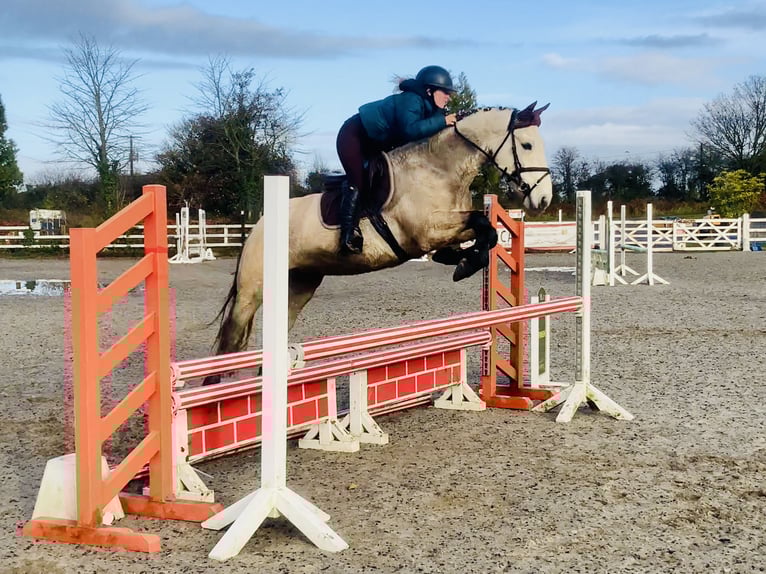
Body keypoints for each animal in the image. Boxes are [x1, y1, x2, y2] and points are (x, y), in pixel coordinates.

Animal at [204, 102, 552, 383]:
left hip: (300, 285)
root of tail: (258, 226)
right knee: (229, 341)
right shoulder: (425, 232)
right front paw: (464, 264)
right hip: (252, 291)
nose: (544, 200)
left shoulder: (449, 227)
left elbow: (486, 231)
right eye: (527, 144)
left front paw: (462, 261)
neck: (439, 169)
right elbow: (480, 225)